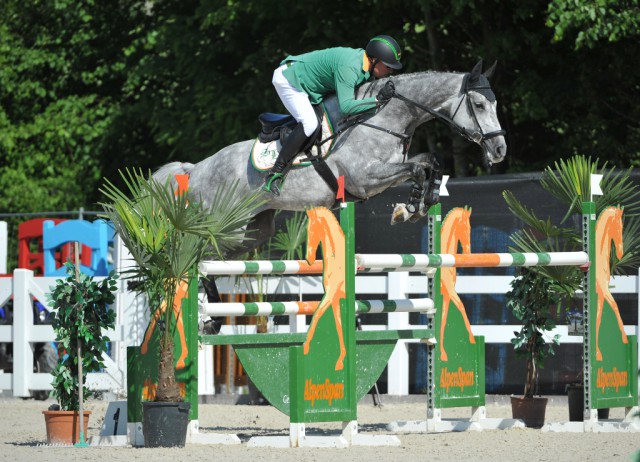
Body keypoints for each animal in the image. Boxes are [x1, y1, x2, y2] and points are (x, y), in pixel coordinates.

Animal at [155, 60, 504, 256]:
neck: (383, 115)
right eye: (479, 104)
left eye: (495, 103)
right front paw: (408, 209)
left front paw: (422, 203)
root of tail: (195, 169)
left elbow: (430, 162)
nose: (500, 150)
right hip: (219, 222)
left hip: (250, 231)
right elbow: (418, 168)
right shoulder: (366, 178)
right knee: (192, 253)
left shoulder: (387, 172)